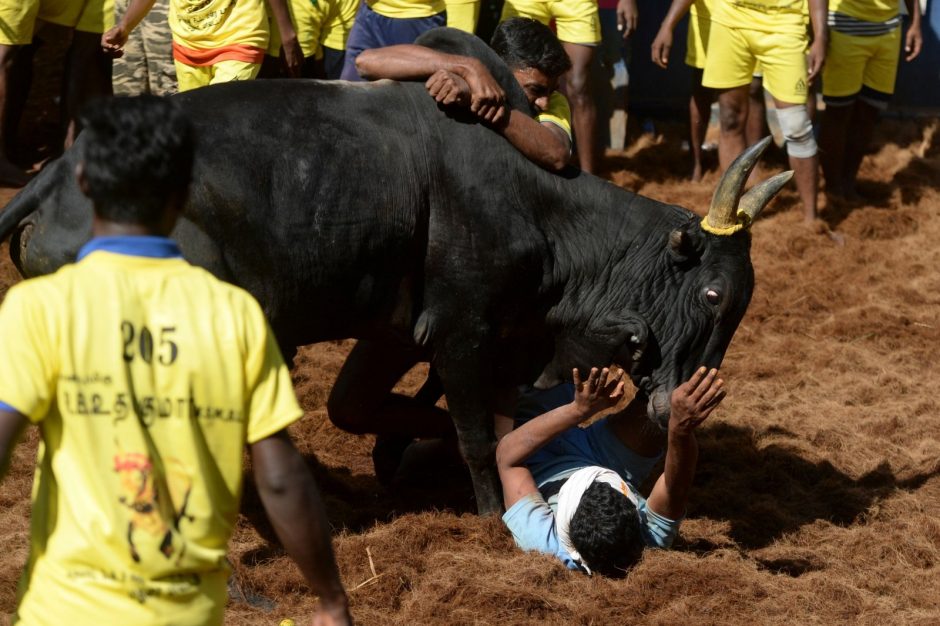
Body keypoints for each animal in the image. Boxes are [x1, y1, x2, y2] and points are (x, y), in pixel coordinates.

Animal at [0, 31, 788, 516]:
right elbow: (477, 433)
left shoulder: (405, 335)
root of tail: (53, 178)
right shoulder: (465, 331)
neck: (541, 204)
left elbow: (374, 409)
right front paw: (488, 511)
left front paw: (401, 454)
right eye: (712, 292)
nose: (675, 407)